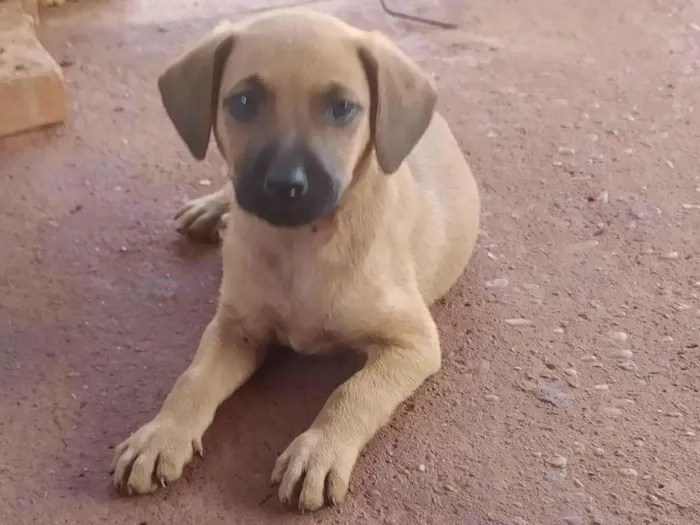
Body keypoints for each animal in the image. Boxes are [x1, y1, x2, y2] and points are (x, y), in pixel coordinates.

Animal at [110, 8, 482, 512]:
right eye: (243, 102)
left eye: (342, 108)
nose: (285, 186)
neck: (299, 246)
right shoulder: (235, 328)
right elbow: (193, 380)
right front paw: (160, 435)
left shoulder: (412, 342)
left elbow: (353, 392)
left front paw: (319, 451)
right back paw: (212, 208)